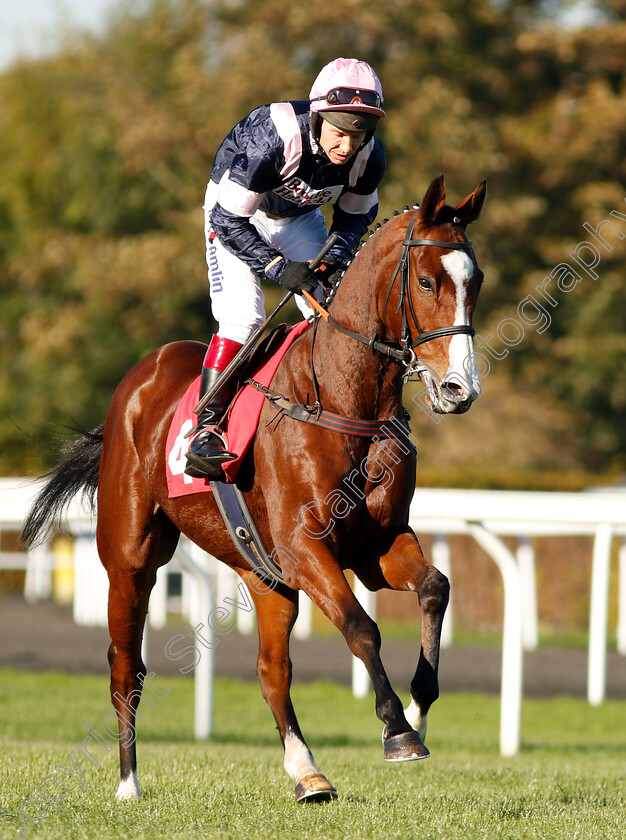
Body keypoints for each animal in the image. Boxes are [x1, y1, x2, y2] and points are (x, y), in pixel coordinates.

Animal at [22, 174, 482, 804]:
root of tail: (141, 375)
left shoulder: (374, 545)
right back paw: (128, 782)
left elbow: (436, 588)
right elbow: (361, 628)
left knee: (271, 670)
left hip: (264, 574)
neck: (343, 399)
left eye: (475, 281)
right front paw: (397, 731)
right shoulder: (305, 546)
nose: (461, 388)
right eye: (427, 280)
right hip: (131, 556)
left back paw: (307, 772)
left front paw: (420, 706)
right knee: (125, 666)